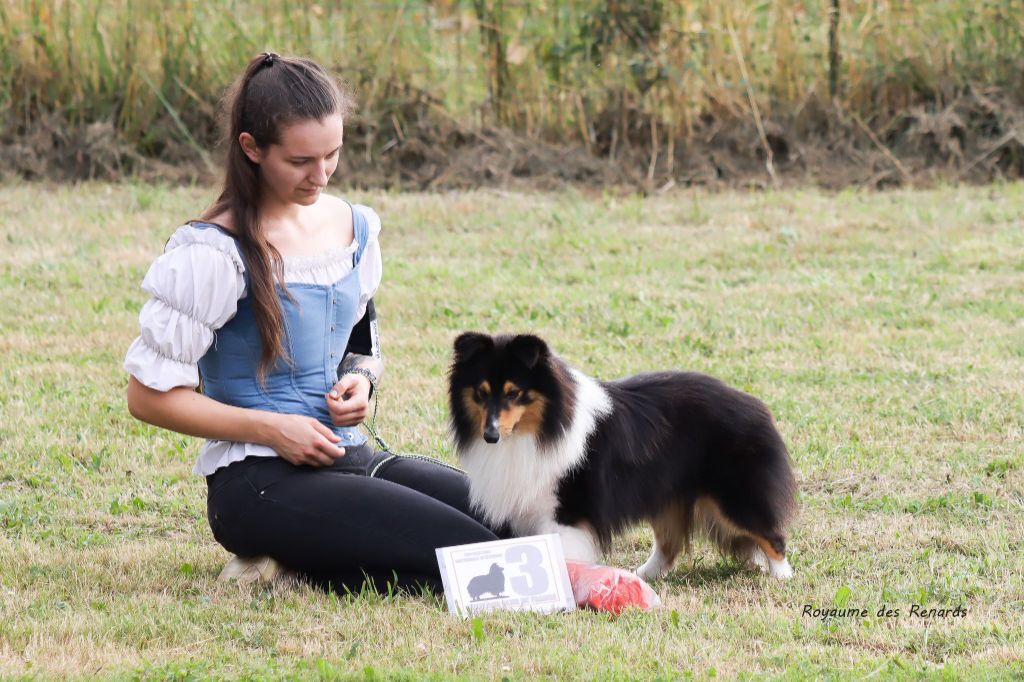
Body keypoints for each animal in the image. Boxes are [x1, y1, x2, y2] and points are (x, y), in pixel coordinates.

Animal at [447, 332, 798, 580]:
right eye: (480, 393)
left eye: (514, 393)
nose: (490, 435)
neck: (543, 427)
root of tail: (756, 406)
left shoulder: (567, 511)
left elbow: (566, 554)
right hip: (667, 494)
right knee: (668, 545)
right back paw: (642, 575)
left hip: (735, 497)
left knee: (772, 535)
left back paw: (781, 576)